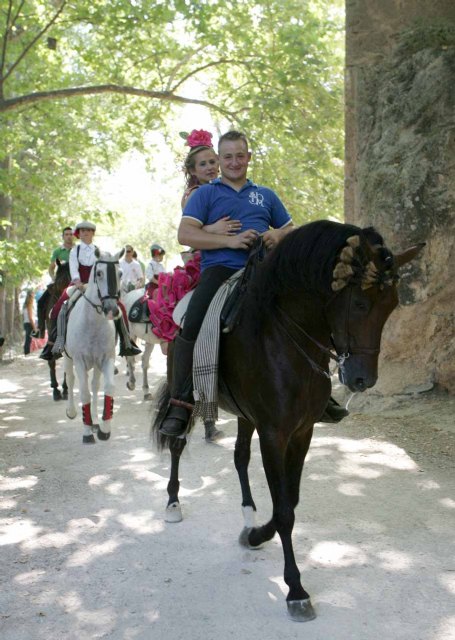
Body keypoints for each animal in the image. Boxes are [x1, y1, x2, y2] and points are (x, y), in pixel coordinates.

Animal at [65, 249, 124, 444]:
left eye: (120, 274)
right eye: (99, 273)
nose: (112, 310)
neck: (93, 323)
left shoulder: (106, 359)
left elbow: (108, 388)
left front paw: (104, 429)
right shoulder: (79, 361)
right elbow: (84, 393)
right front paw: (87, 432)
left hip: (96, 364)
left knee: (95, 385)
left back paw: (96, 421)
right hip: (67, 358)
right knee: (70, 380)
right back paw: (72, 412)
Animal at [151, 220, 424, 622]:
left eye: (390, 306)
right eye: (359, 304)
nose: (363, 379)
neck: (286, 337)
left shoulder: (301, 432)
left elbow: (290, 501)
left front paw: (255, 535)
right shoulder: (273, 433)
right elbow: (283, 511)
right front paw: (295, 589)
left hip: (246, 416)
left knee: (240, 457)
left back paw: (248, 515)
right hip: (185, 389)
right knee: (176, 442)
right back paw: (173, 503)